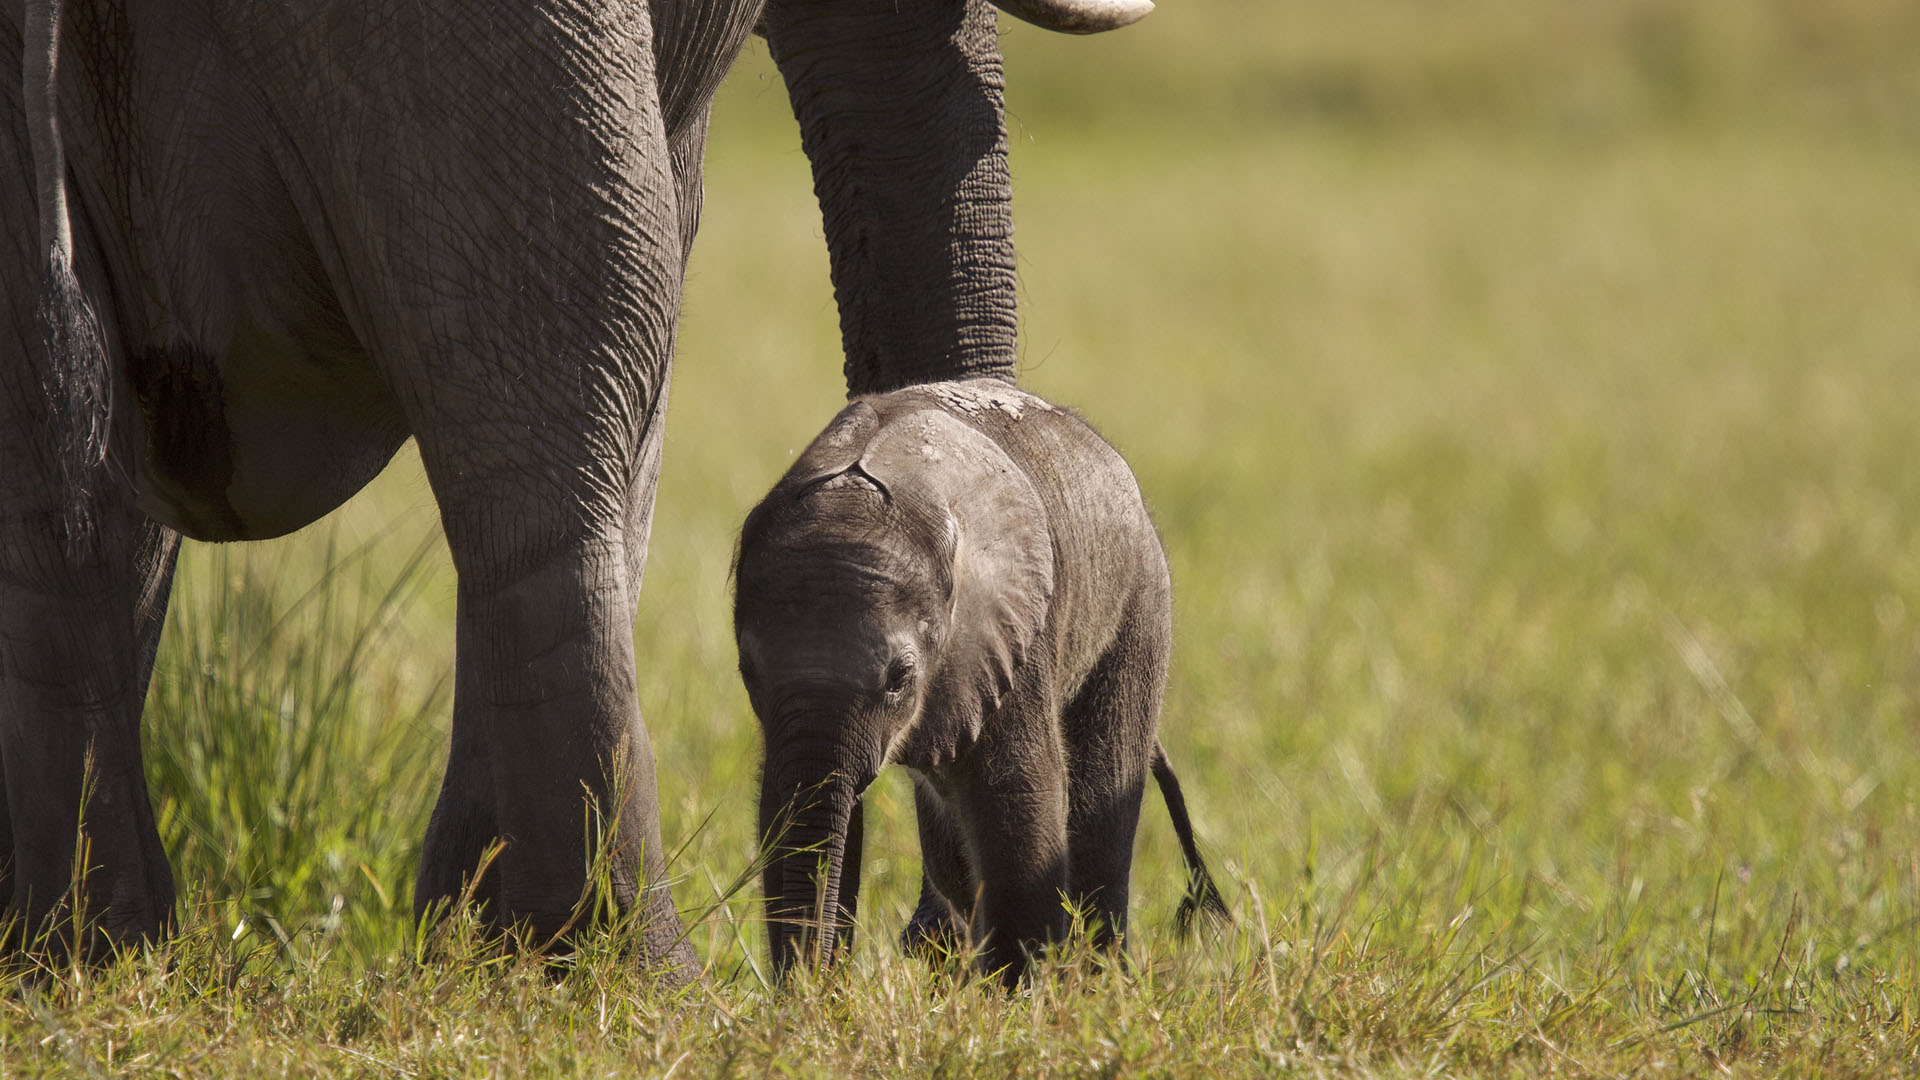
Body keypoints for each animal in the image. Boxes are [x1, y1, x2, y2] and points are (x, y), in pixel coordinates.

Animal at [733, 378, 1228, 983]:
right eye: (747, 670)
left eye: (900, 678)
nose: (815, 985)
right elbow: (786, 805)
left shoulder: (1009, 639)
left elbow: (1016, 805)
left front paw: (1018, 996)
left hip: (1139, 603)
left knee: (1102, 802)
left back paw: (1096, 979)